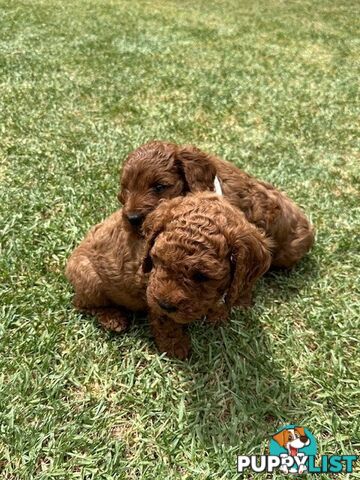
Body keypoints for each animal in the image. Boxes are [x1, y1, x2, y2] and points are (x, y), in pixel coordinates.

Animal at [66, 193, 272, 358]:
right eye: (157, 260)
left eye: (202, 276)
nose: (165, 304)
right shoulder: (150, 290)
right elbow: (165, 320)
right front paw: (175, 346)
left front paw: (217, 313)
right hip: (89, 279)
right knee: (82, 304)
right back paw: (112, 318)